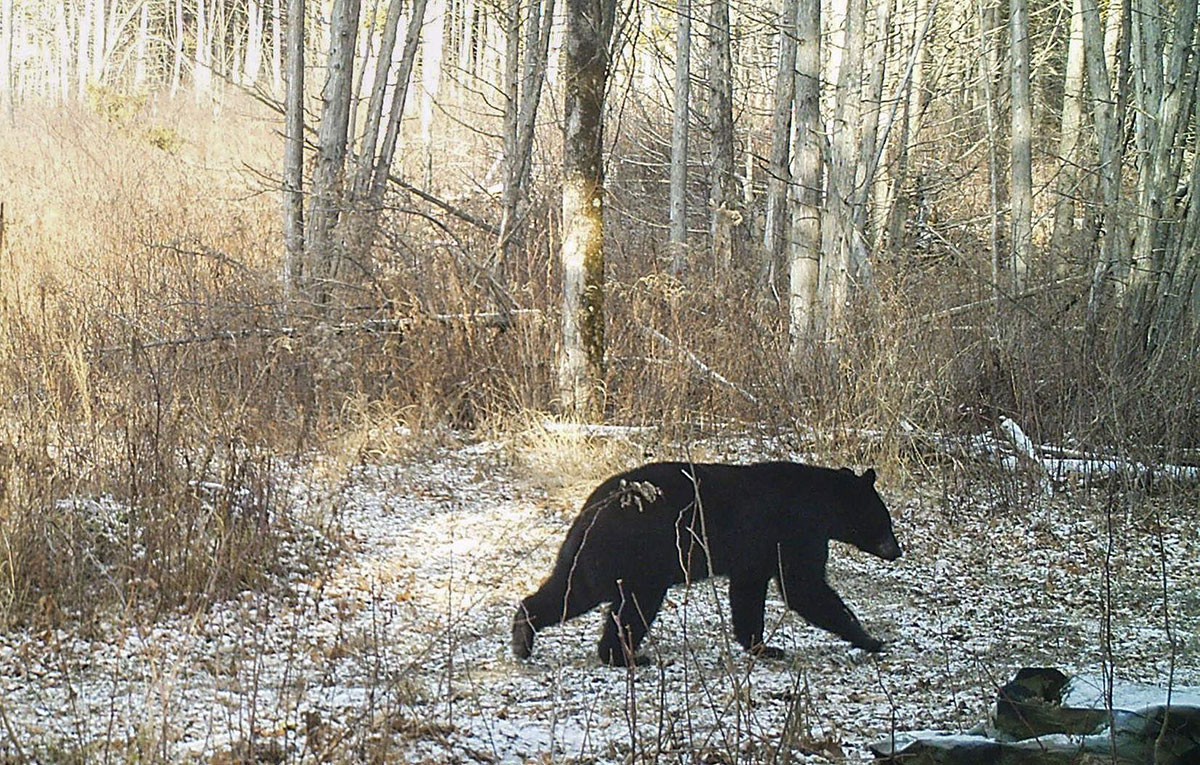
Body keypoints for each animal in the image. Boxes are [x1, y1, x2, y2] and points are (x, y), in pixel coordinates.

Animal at [513, 465, 902, 666]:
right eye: (884, 520)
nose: (897, 551)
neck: (821, 501)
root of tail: (593, 506)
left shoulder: (755, 554)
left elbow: (748, 593)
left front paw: (762, 646)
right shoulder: (795, 531)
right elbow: (804, 586)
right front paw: (870, 639)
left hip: (596, 553)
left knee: (571, 588)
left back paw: (524, 635)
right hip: (633, 556)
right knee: (623, 604)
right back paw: (625, 656)